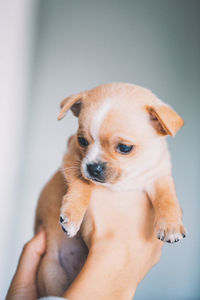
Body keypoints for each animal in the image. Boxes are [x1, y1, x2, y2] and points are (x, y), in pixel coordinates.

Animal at [34, 82, 186, 298]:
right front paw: (72, 217)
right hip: (51, 274)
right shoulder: (72, 161)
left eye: (125, 148)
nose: (93, 167)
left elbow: (167, 196)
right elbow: (82, 185)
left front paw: (171, 225)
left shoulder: (159, 175)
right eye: (82, 141)